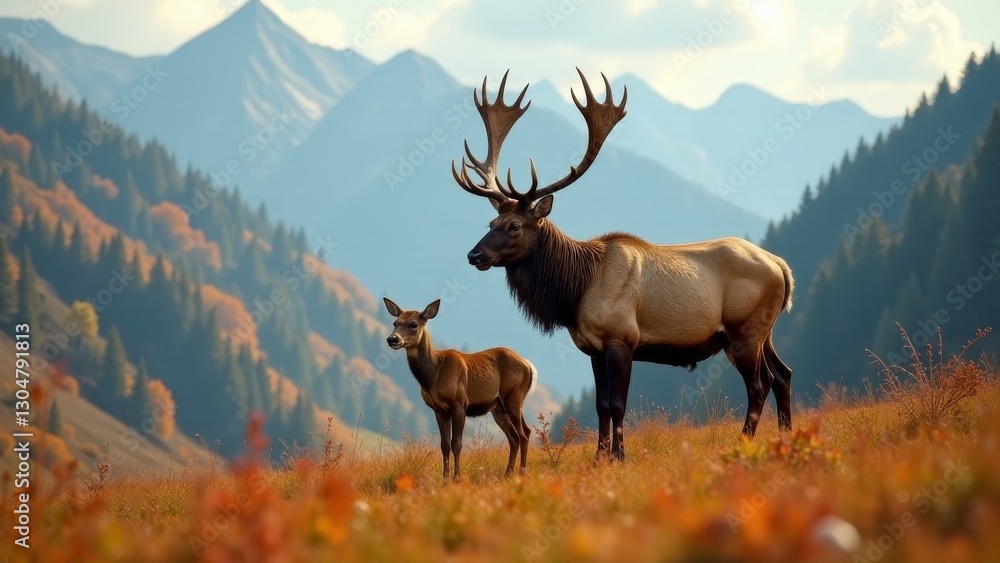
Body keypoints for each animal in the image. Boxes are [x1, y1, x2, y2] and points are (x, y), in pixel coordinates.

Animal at [383, 297, 537, 481]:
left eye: (413, 324)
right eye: (395, 323)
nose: (392, 339)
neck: (433, 376)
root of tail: (528, 365)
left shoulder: (459, 403)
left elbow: (457, 444)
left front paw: (456, 478)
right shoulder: (438, 409)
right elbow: (444, 445)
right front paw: (445, 479)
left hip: (514, 396)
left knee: (524, 434)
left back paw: (522, 473)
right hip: (498, 407)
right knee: (514, 437)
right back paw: (507, 474)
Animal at [450, 69, 795, 462]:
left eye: (514, 226)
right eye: (490, 223)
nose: (474, 255)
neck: (575, 292)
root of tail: (781, 267)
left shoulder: (622, 338)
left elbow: (617, 404)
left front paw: (619, 456)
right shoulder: (592, 348)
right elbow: (601, 405)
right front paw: (599, 458)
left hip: (745, 328)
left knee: (760, 384)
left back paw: (744, 442)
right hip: (760, 330)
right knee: (783, 374)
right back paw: (785, 436)